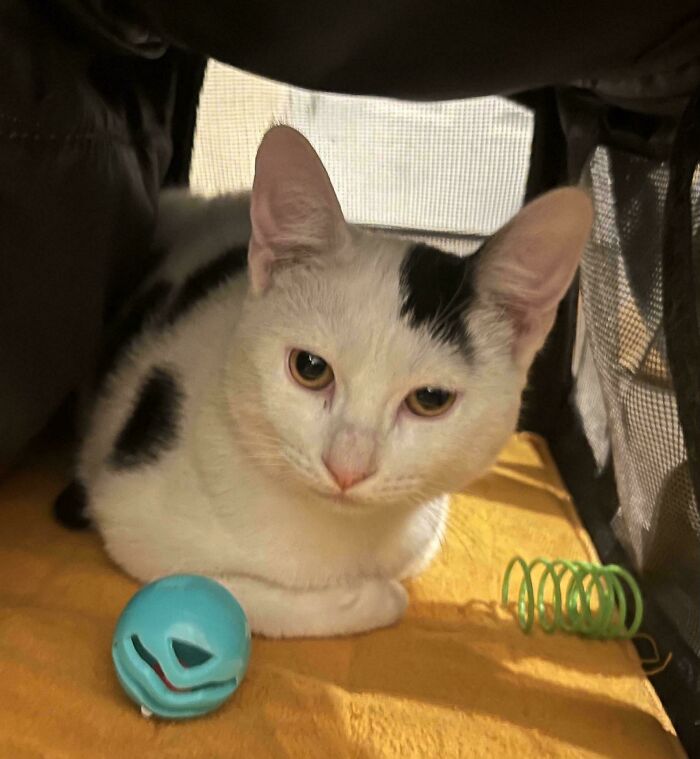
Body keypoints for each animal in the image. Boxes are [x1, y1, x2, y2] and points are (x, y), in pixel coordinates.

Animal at [54, 127, 592, 640]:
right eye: (310, 368)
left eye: (430, 399)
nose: (347, 468)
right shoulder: (128, 515)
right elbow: (225, 589)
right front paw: (377, 597)